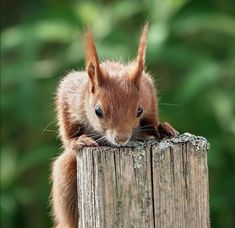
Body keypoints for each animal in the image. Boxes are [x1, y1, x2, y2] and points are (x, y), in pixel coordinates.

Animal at [50, 24, 177, 227]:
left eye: (139, 110)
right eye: (98, 111)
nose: (122, 139)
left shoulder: (147, 88)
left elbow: (153, 112)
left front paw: (160, 128)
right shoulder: (72, 92)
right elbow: (66, 123)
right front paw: (76, 140)